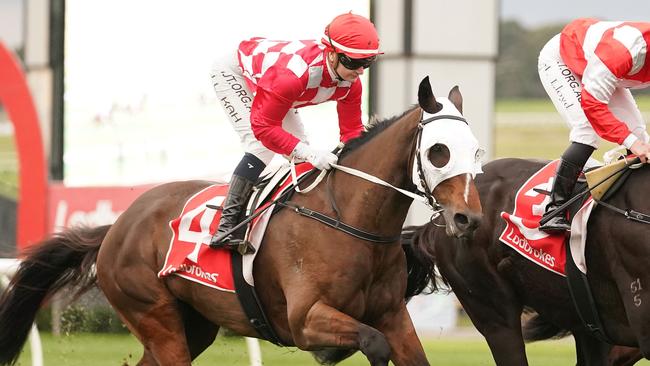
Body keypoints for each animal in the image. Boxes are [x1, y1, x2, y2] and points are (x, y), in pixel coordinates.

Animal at [0, 76, 480, 364]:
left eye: (475, 149)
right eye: (439, 150)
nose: (468, 218)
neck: (349, 221)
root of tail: (116, 227)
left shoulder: (393, 316)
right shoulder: (306, 320)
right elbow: (370, 344)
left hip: (192, 325)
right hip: (155, 315)